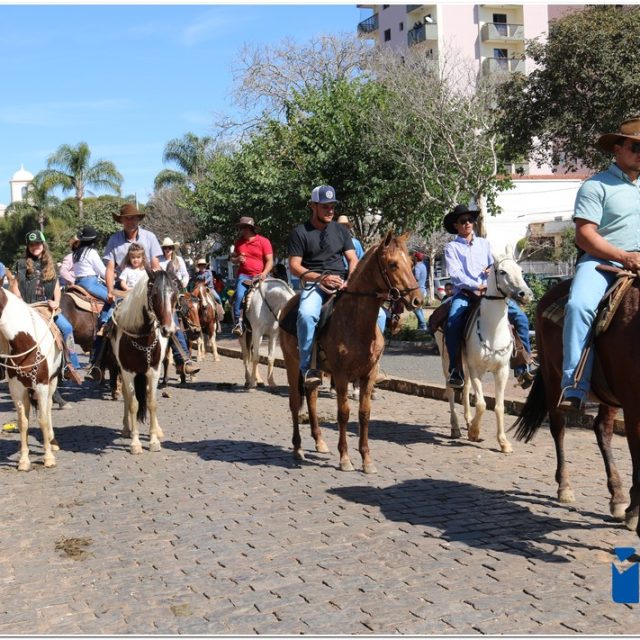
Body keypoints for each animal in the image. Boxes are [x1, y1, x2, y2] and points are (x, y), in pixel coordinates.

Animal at [0, 289, 62, 470]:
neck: (25, 341)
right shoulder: (16, 389)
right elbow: (23, 423)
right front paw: (23, 460)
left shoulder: (42, 386)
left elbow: (43, 420)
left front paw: (48, 458)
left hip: (52, 383)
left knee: (48, 408)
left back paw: (52, 441)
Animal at [110, 267, 178, 454]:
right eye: (154, 294)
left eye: (174, 294)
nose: (168, 329)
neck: (142, 339)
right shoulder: (127, 372)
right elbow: (133, 404)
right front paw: (135, 442)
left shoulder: (153, 371)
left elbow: (152, 403)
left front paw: (154, 440)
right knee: (127, 397)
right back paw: (127, 428)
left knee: (147, 396)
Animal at [279, 231, 422, 473]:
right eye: (393, 264)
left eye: (411, 263)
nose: (417, 300)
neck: (356, 322)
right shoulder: (341, 375)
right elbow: (343, 413)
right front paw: (345, 458)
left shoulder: (368, 375)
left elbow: (364, 414)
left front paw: (366, 460)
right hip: (291, 363)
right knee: (295, 401)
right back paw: (297, 448)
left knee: (312, 397)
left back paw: (319, 441)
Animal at [434, 251, 533, 453]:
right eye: (502, 271)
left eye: (520, 270)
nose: (525, 294)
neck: (493, 329)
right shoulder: (475, 369)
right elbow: (481, 403)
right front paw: (474, 432)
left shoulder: (502, 371)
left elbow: (499, 406)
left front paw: (503, 442)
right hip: (447, 360)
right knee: (451, 389)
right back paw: (456, 428)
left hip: (462, 362)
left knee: (465, 388)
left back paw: (468, 420)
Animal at [512, 274, 639, 533]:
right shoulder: (633, 406)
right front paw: (635, 512)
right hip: (553, 380)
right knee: (558, 429)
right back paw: (565, 487)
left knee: (602, 430)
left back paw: (618, 497)